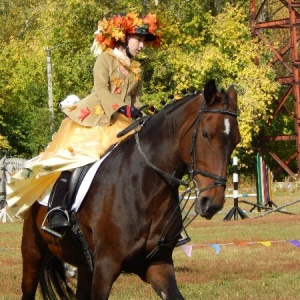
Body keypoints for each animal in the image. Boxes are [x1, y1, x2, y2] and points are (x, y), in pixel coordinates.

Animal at [20, 78, 241, 298]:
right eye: (205, 134)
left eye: (236, 141)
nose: (212, 203)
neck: (146, 190)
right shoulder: (106, 266)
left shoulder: (158, 264)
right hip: (33, 254)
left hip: (84, 266)